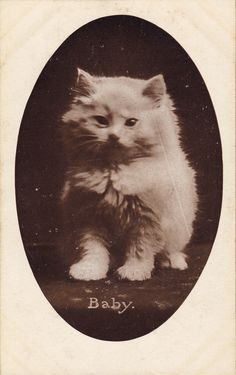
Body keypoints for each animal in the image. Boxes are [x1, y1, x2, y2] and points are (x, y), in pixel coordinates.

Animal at [59, 68, 197, 282]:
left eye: (131, 122)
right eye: (101, 121)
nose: (114, 136)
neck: (114, 169)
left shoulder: (148, 220)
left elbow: (140, 249)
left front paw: (134, 271)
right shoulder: (88, 217)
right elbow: (93, 249)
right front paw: (89, 270)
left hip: (179, 226)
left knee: (170, 249)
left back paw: (172, 262)